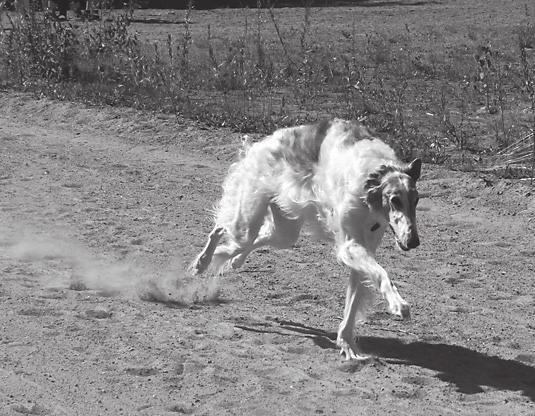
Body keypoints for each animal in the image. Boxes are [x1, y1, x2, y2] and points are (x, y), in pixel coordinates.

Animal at [193, 118, 422, 360]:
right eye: (394, 200)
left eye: (416, 200)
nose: (413, 242)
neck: (371, 177)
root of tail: (259, 145)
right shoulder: (349, 246)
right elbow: (382, 274)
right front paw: (398, 304)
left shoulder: (364, 248)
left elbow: (354, 303)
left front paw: (346, 343)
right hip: (247, 222)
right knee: (220, 230)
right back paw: (202, 262)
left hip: (285, 231)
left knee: (247, 242)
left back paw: (232, 260)